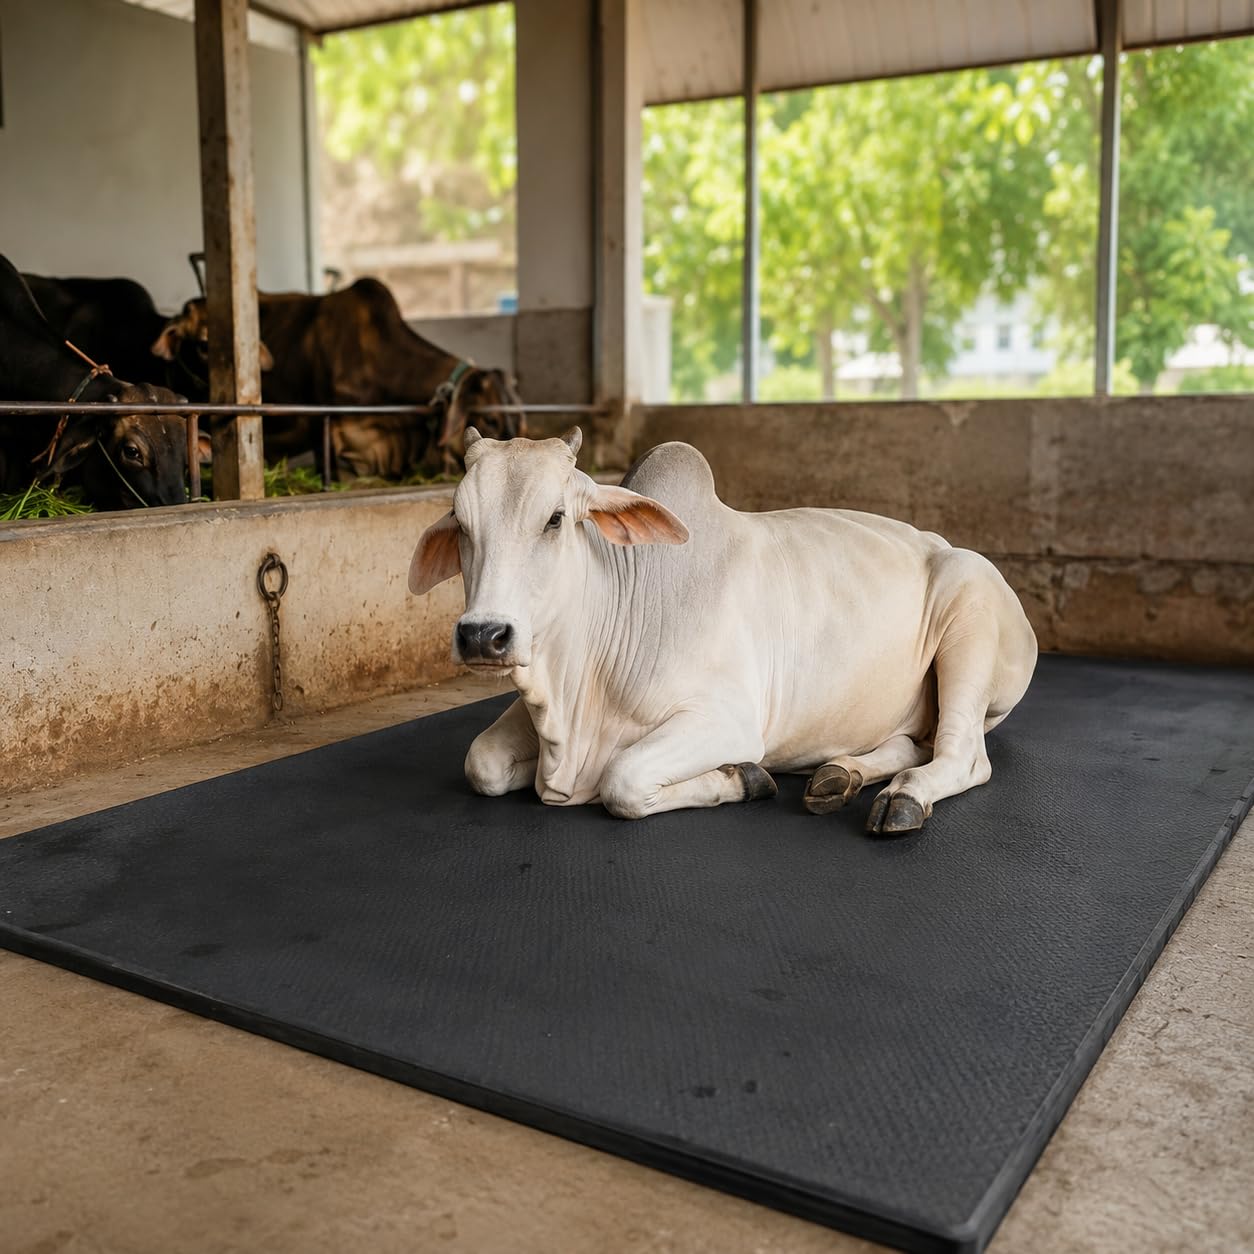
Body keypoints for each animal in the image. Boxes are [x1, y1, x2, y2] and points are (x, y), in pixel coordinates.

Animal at [407, 429, 1038, 832]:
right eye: (460, 522)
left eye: (555, 519)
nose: (484, 635)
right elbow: (482, 763)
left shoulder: (727, 720)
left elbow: (623, 779)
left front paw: (745, 779)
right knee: (910, 743)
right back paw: (840, 775)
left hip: (968, 615)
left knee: (963, 756)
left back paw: (904, 796)